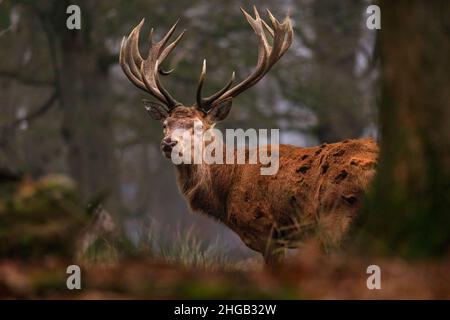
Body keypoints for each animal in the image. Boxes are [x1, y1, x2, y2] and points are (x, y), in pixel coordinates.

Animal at [119, 7, 380, 264]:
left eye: (198, 126)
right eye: (165, 124)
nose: (168, 143)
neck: (226, 188)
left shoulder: (266, 232)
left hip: (336, 220)